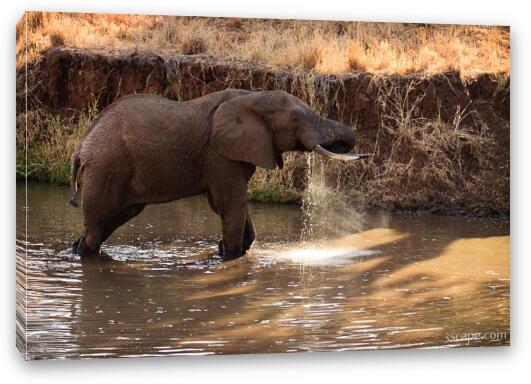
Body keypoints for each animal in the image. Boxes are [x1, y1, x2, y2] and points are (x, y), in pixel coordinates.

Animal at [69, 88, 370, 260]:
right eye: (296, 119)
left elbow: (232, 207)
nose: (366, 155)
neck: (251, 96)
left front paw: (224, 250)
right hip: (106, 169)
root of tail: (82, 145)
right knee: (96, 226)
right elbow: (230, 203)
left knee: (113, 220)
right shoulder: (219, 154)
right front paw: (229, 256)